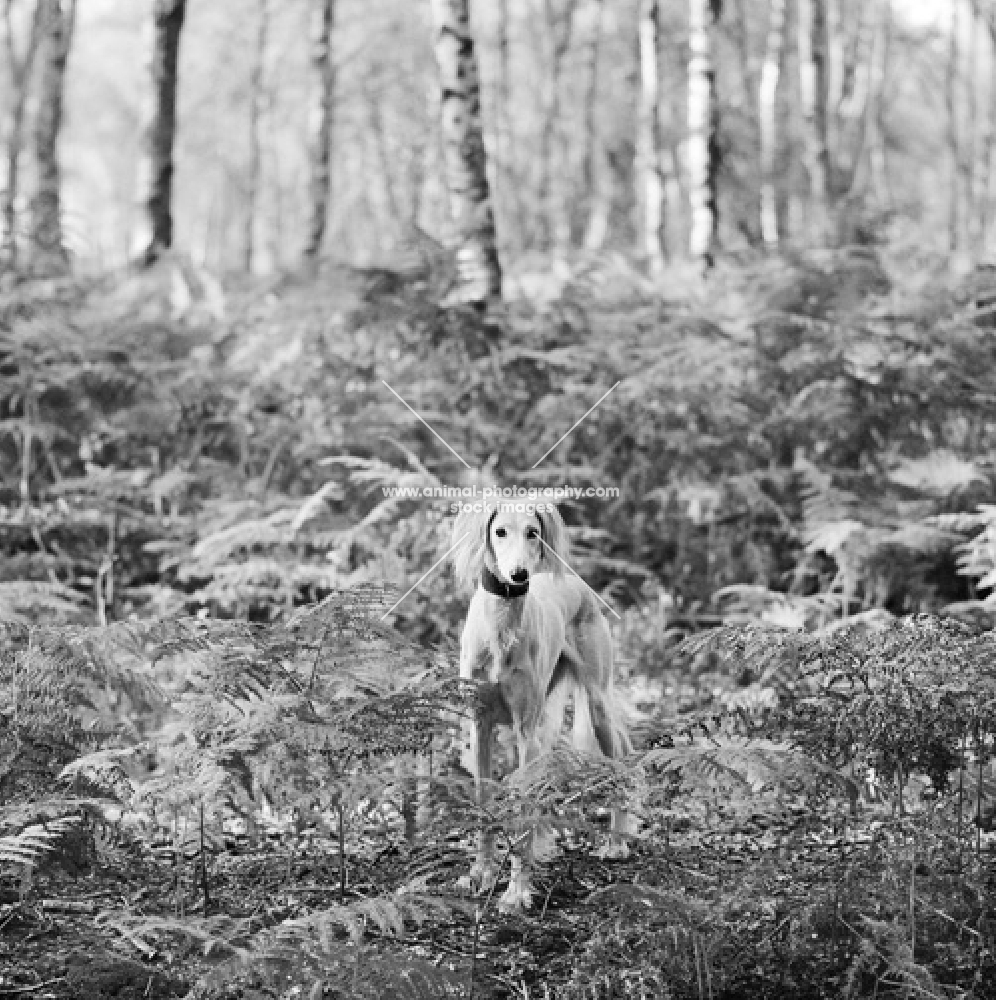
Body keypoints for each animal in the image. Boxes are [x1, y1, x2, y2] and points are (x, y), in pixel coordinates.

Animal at [452, 504, 632, 912]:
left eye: (532, 532)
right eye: (500, 531)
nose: (518, 575)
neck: (501, 625)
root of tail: (576, 582)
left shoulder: (524, 732)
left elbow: (522, 811)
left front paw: (516, 892)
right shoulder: (480, 728)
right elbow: (485, 801)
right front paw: (482, 873)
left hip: (594, 704)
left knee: (618, 761)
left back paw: (616, 840)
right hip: (547, 719)